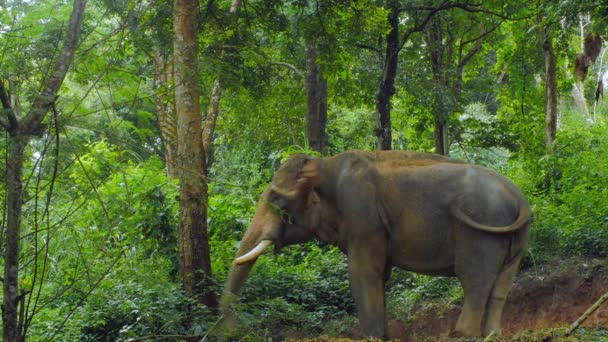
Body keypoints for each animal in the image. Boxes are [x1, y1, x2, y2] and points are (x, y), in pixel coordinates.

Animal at [221, 150, 528, 340]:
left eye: (278, 203)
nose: (236, 331)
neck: (325, 163)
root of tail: (519, 196)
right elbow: (381, 276)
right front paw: (384, 336)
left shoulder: (362, 215)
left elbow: (362, 273)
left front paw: (371, 337)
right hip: (514, 239)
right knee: (501, 285)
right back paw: (493, 335)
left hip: (481, 233)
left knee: (474, 280)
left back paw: (461, 334)